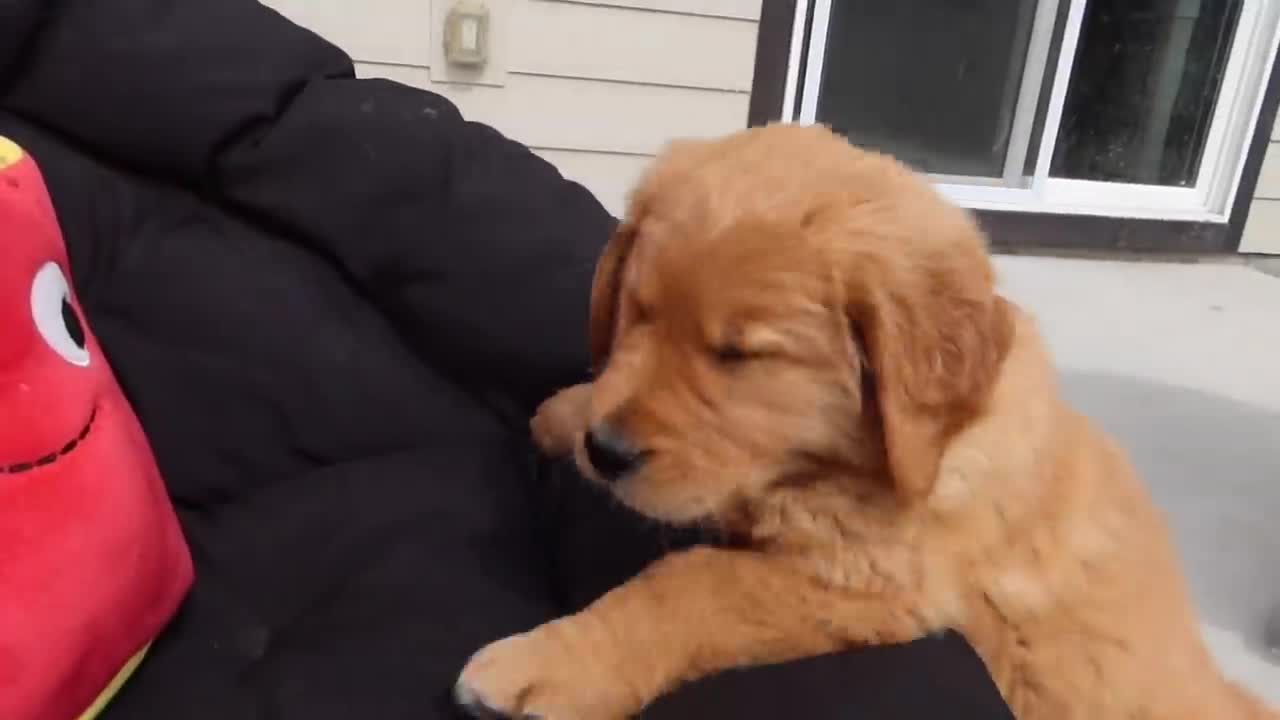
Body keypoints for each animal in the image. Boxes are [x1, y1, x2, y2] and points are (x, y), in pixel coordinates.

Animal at [455, 124, 1274, 717]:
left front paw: (550, 664)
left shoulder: (878, 580)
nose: (607, 450)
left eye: (739, 355)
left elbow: (693, 581)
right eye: (640, 312)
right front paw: (567, 414)